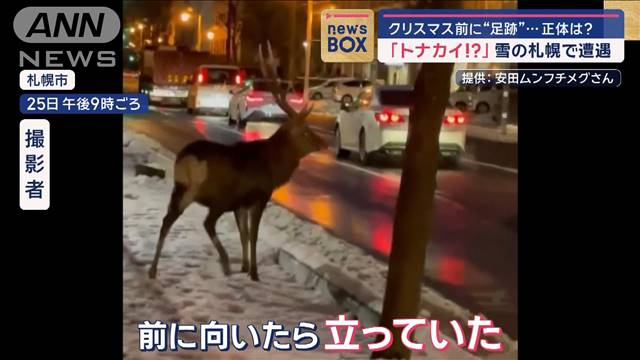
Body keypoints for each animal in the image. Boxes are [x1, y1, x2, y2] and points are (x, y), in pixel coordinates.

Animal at [145, 42, 324, 282]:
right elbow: (253, 235)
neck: (274, 166)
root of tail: (186, 161)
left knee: (167, 221)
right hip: (217, 195)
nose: (323, 143)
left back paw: (153, 269)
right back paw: (225, 262)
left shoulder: (241, 204)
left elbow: (244, 234)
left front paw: (245, 266)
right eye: (305, 131)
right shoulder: (258, 195)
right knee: (207, 223)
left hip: (181, 189)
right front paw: (254, 273)